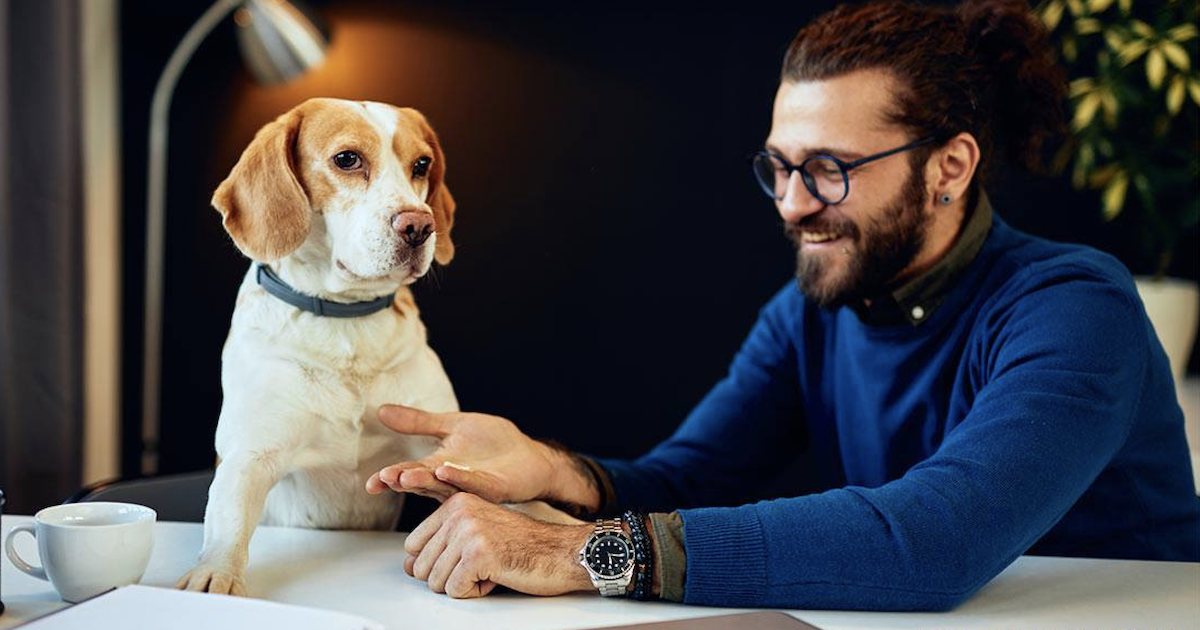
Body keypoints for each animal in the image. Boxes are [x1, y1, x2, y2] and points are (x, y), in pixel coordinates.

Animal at [175, 98, 460, 595]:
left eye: (422, 164)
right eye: (347, 159)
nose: (420, 225)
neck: (347, 322)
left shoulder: (441, 443)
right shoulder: (251, 456)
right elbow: (228, 524)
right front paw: (215, 576)